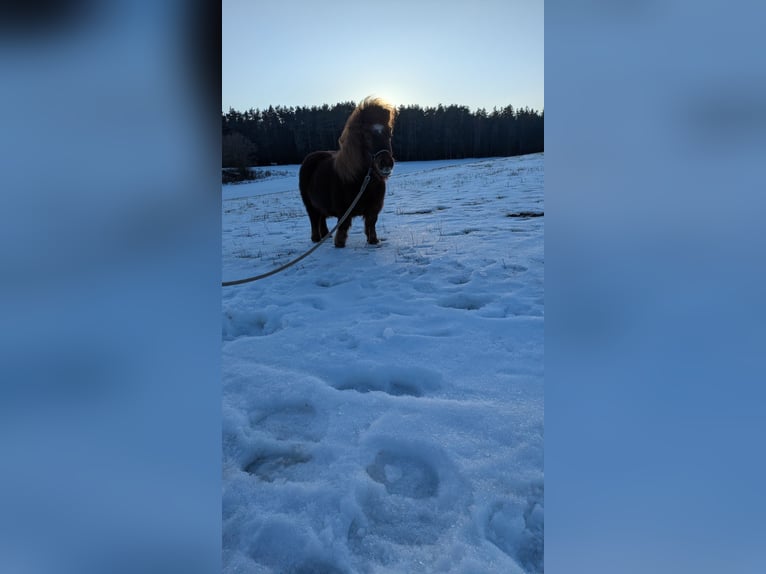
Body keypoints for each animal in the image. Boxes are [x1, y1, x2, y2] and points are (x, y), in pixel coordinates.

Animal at [299, 97, 396, 248]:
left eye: (389, 132)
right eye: (366, 135)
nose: (385, 164)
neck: (362, 181)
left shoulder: (373, 208)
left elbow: (371, 223)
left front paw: (373, 240)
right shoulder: (344, 210)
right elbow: (343, 226)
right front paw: (339, 244)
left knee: (322, 218)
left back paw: (326, 235)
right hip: (310, 205)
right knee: (314, 219)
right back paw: (316, 239)